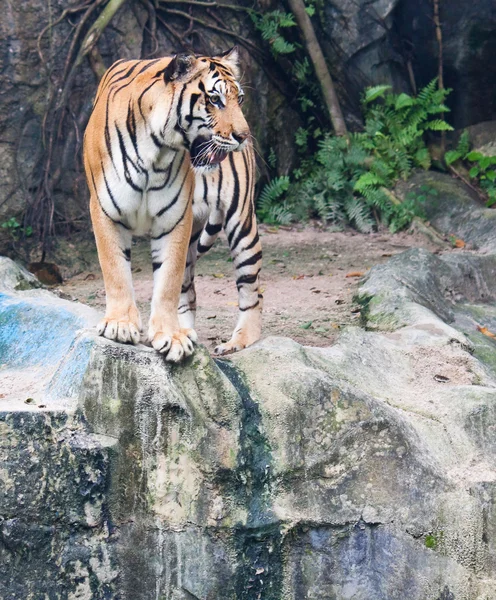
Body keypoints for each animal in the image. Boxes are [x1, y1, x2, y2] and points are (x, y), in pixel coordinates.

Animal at [84, 48, 264, 360]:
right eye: (214, 100)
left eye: (238, 100)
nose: (243, 137)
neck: (156, 149)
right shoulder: (106, 211)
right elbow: (115, 270)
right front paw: (120, 325)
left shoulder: (175, 219)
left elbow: (167, 282)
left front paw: (170, 335)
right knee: (188, 291)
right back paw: (188, 330)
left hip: (241, 220)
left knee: (251, 290)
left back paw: (238, 341)